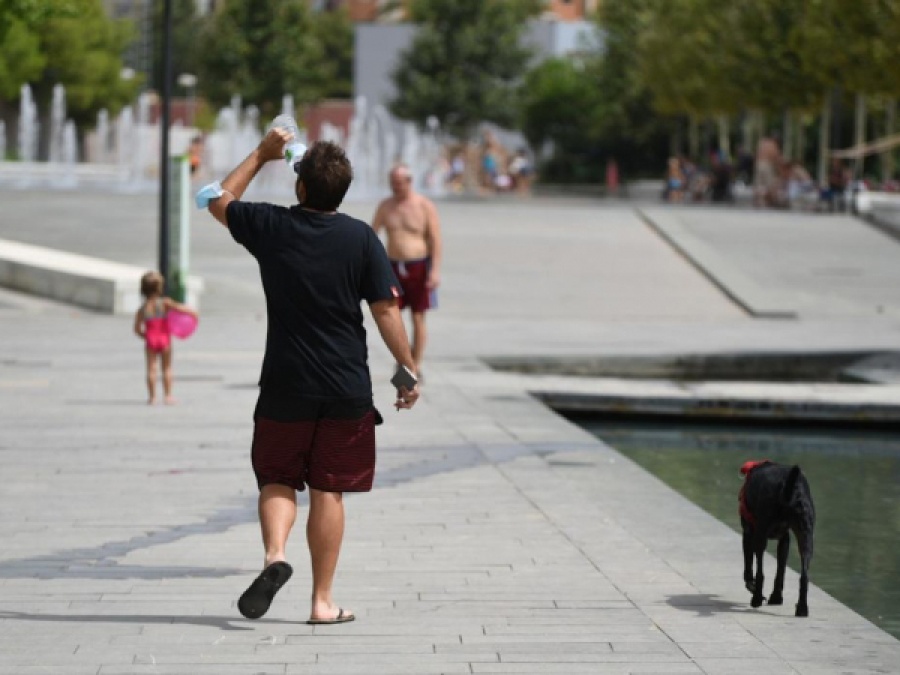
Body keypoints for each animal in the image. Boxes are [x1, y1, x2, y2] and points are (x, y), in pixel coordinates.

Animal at [740, 460, 816, 616]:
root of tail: (791, 487)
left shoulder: (748, 533)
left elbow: (748, 566)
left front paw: (751, 586)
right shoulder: (785, 539)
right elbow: (780, 569)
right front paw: (776, 597)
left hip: (760, 535)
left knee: (760, 571)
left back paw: (756, 598)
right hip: (806, 537)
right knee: (804, 576)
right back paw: (802, 608)